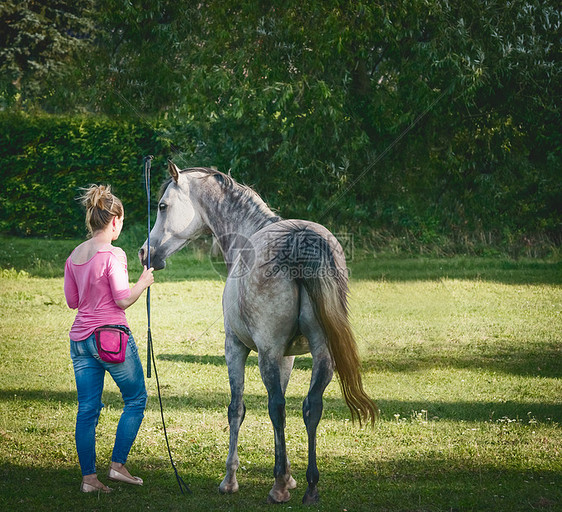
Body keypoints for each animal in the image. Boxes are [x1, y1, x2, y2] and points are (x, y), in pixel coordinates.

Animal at [140, 163, 376, 504]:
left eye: (162, 206)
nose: (145, 253)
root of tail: (298, 238)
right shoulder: (287, 357)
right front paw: (290, 476)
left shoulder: (236, 347)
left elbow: (236, 409)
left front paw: (231, 479)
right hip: (322, 353)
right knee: (310, 407)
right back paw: (310, 486)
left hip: (266, 353)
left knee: (276, 407)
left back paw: (277, 488)